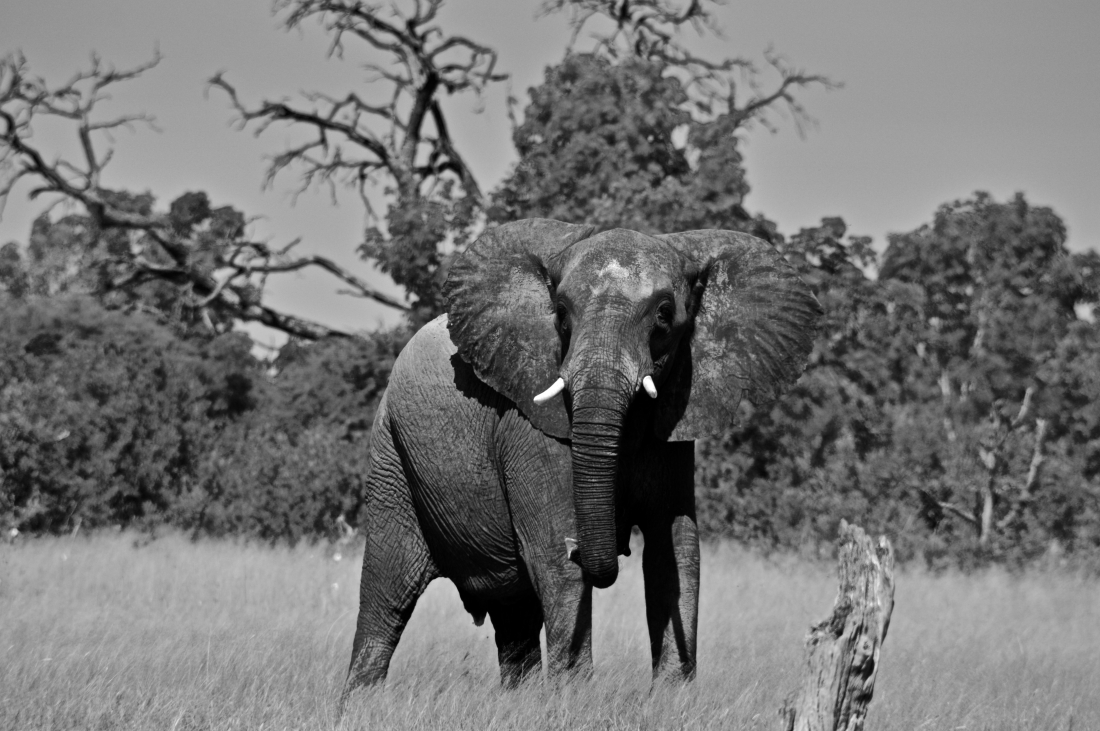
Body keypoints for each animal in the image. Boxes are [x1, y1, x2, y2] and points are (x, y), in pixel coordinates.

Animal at [341, 218, 821, 705]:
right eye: (561, 313)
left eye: (664, 315)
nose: (592, 546)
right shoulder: (529, 427)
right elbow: (556, 559)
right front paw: (574, 701)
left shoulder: (674, 423)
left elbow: (675, 551)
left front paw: (672, 700)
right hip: (390, 454)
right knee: (387, 597)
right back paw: (360, 705)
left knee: (514, 615)